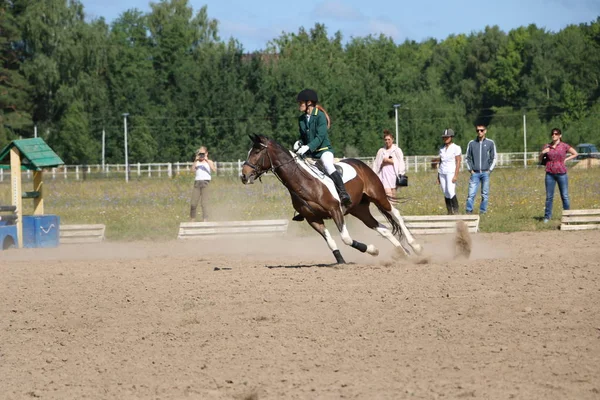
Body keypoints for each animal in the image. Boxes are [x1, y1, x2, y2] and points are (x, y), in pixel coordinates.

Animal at [240, 134, 422, 264]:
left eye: (257, 152)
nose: (243, 176)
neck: (304, 182)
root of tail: (362, 164)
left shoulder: (335, 211)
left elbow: (346, 238)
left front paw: (372, 250)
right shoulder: (312, 219)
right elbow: (330, 242)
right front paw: (340, 260)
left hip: (377, 195)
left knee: (396, 215)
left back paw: (415, 246)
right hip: (359, 209)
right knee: (382, 228)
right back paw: (402, 252)